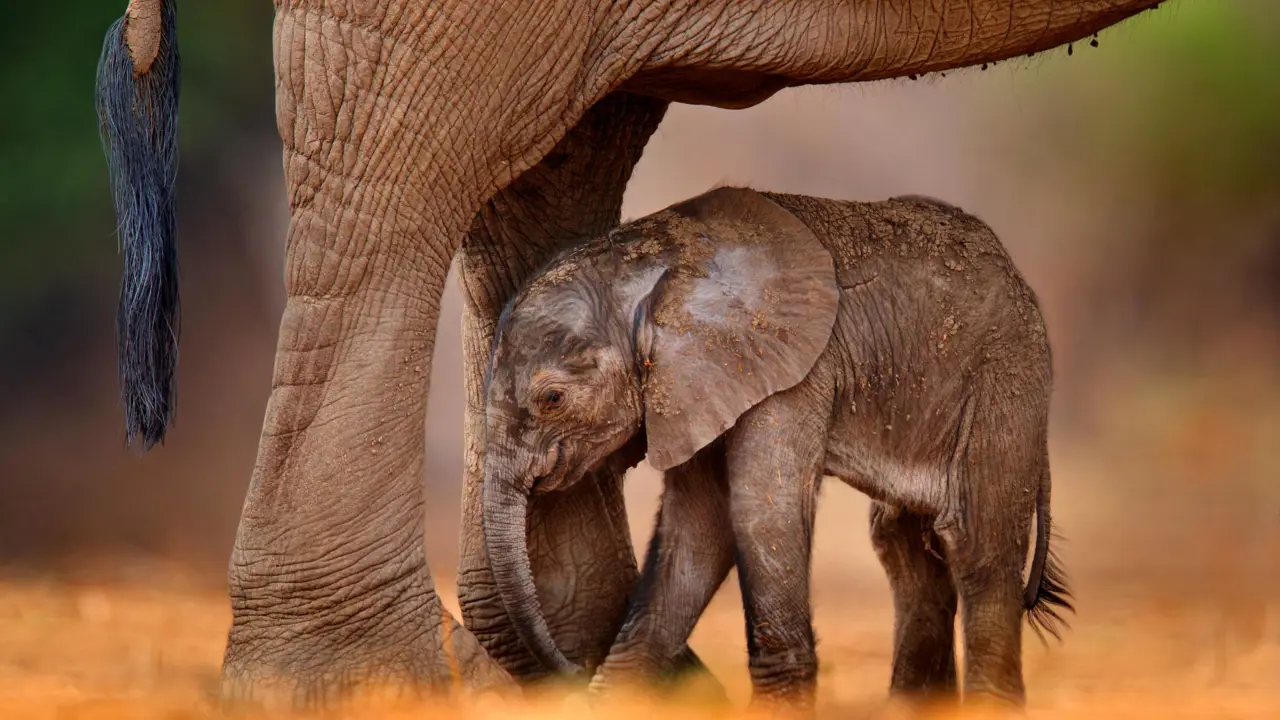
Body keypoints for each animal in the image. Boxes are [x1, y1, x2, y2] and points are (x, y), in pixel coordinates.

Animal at [480, 187, 1071, 708]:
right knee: (903, 544)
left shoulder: (791, 370)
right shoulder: (694, 384)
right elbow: (697, 528)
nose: (568, 668)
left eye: (552, 398)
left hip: (1004, 375)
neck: (651, 260)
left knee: (977, 539)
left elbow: (758, 513)